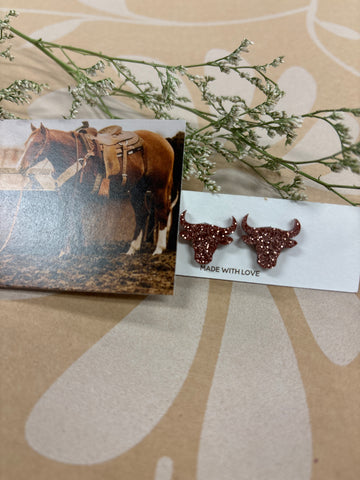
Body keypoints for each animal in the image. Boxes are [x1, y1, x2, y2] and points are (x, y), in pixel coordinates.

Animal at [17, 123, 176, 255]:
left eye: (37, 143)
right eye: (25, 143)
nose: (20, 167)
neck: (75, 156)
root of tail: (165, 143)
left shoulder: (77, 195)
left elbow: (72, 219)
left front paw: (67, 251)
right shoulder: (67, 195)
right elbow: (71, 219)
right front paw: (73, 249)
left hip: (159, 187)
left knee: (162, 212)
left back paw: (158, 249)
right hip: (137, 189)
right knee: (141, 213)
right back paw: (132, 249)